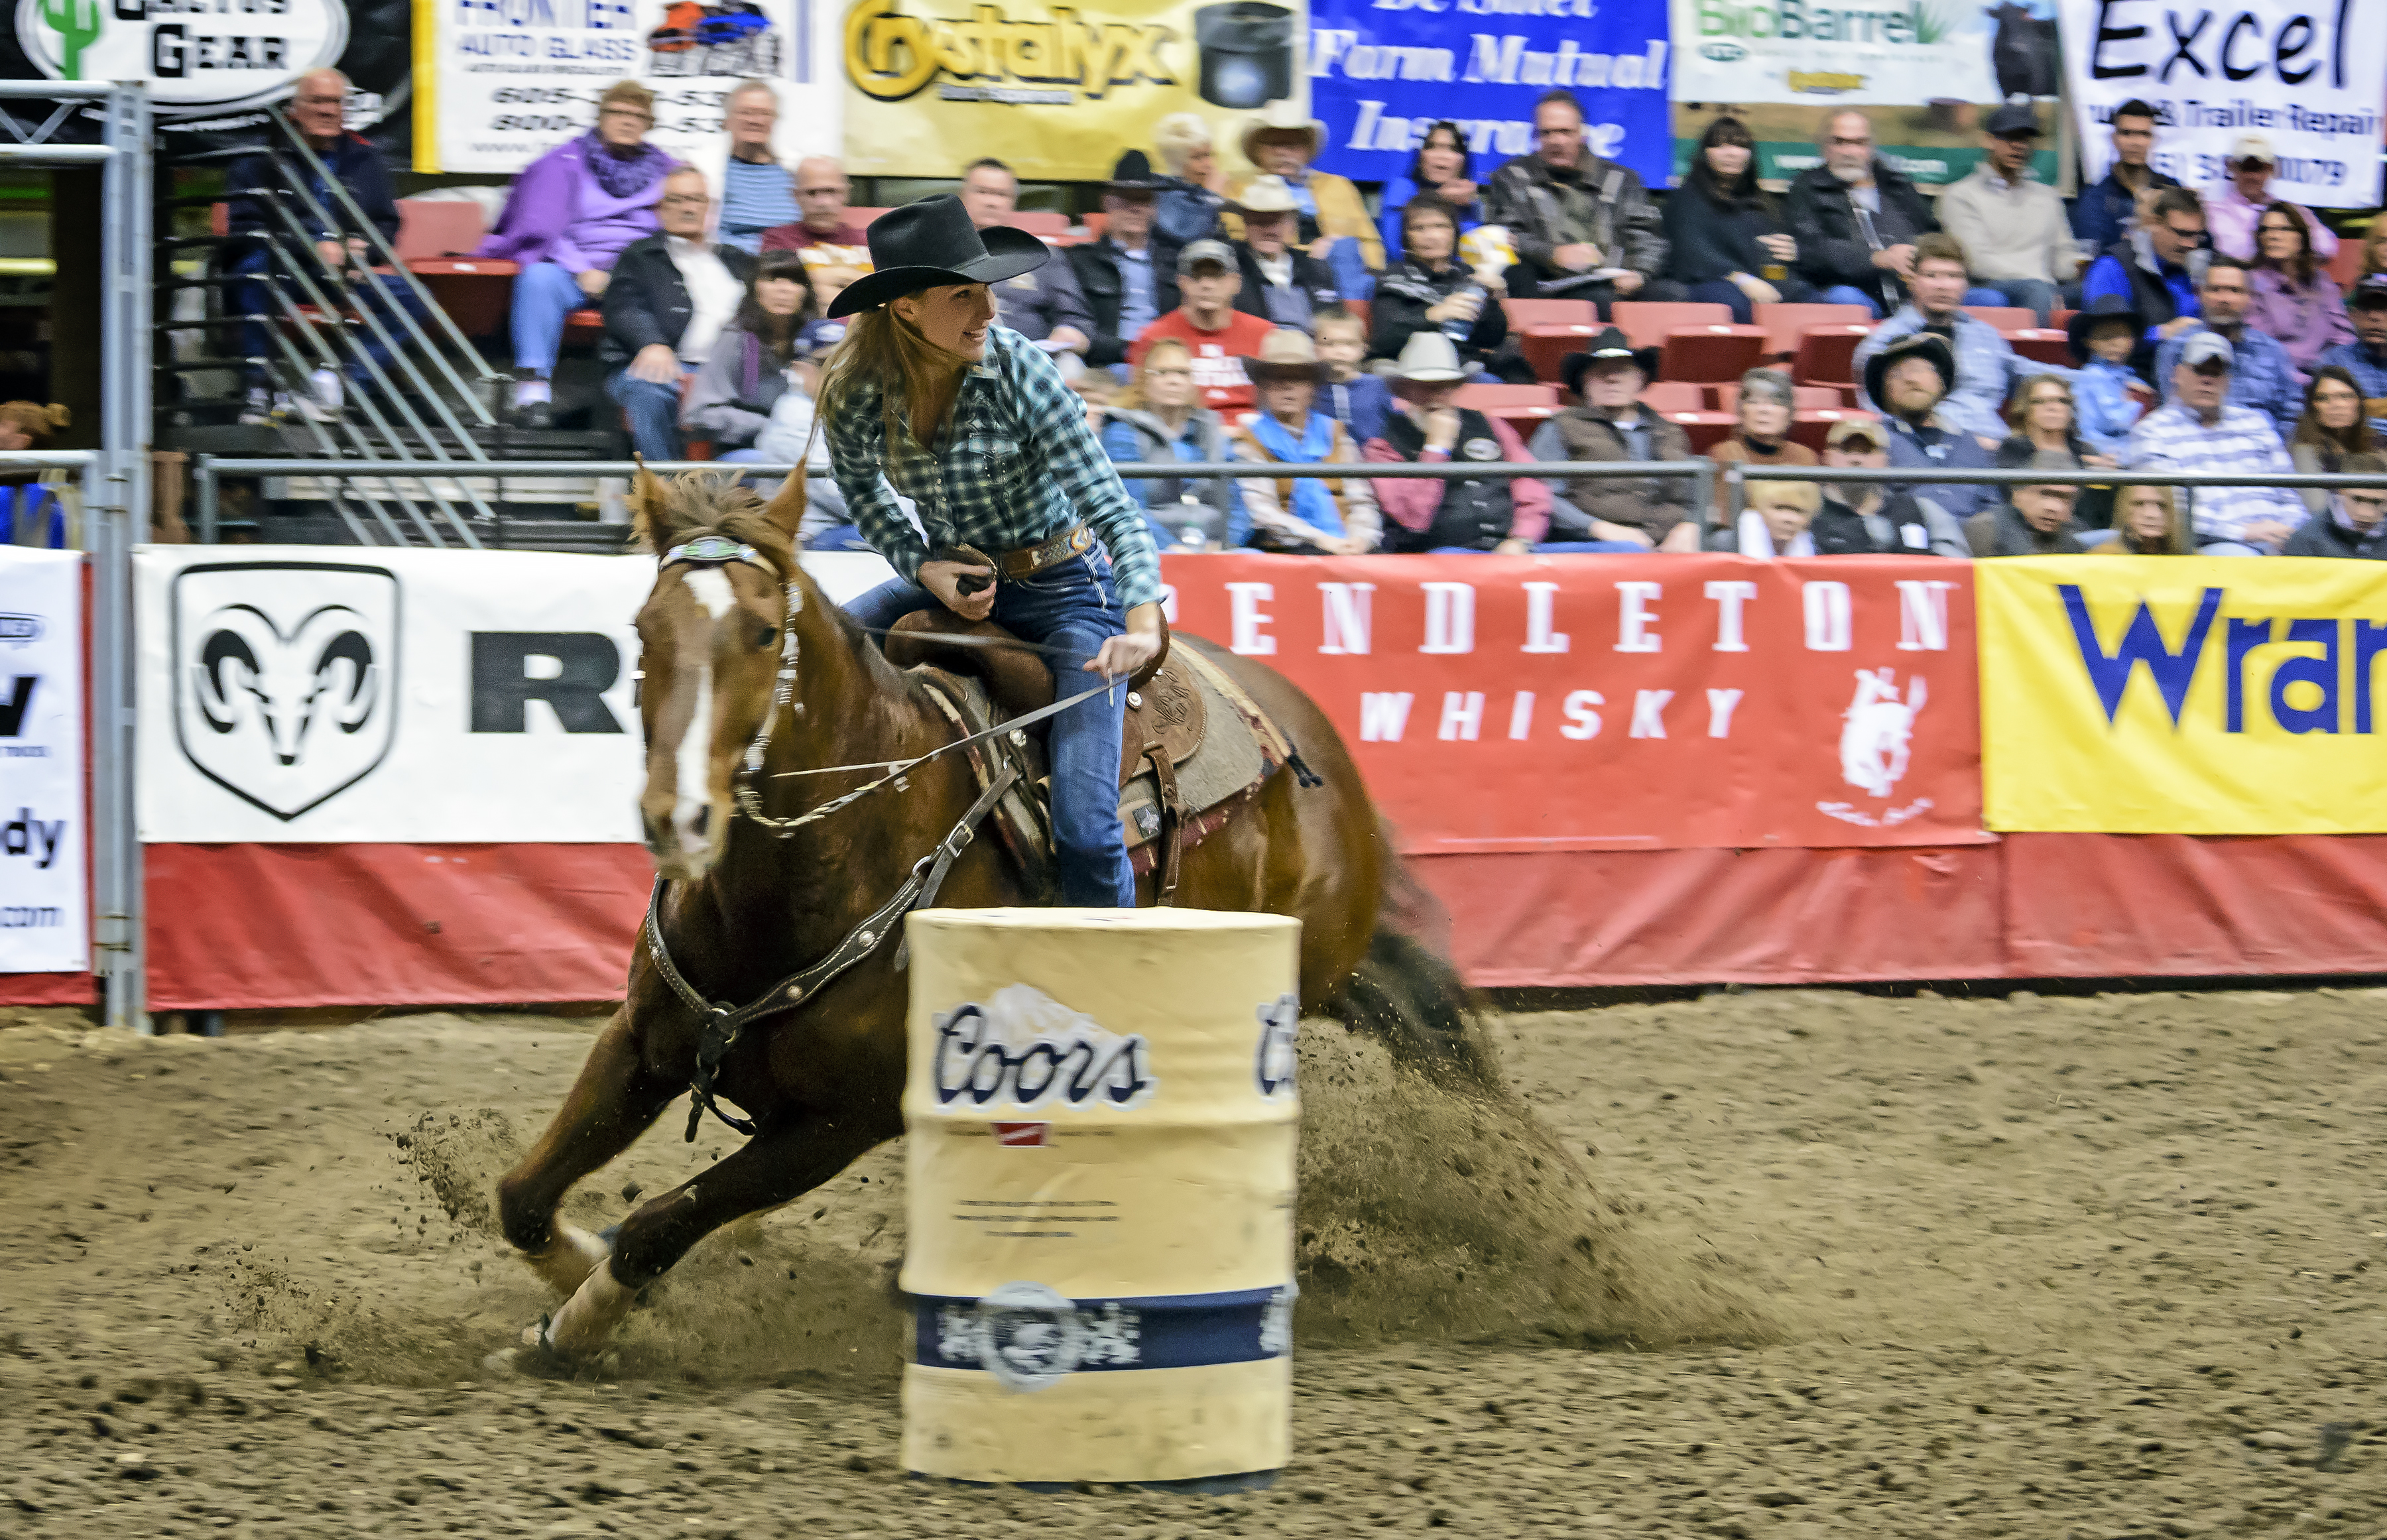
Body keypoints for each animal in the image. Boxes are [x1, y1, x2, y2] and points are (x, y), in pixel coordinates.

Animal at [501, 470, 1470, 1356]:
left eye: (764, 631)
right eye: (643, 629)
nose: (680, 817)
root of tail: (1314, 750)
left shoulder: (841, 1122)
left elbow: (659, 1223)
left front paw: (576, 1326)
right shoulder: (643, 1041)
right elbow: (524, 1198)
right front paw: (575, 1271)